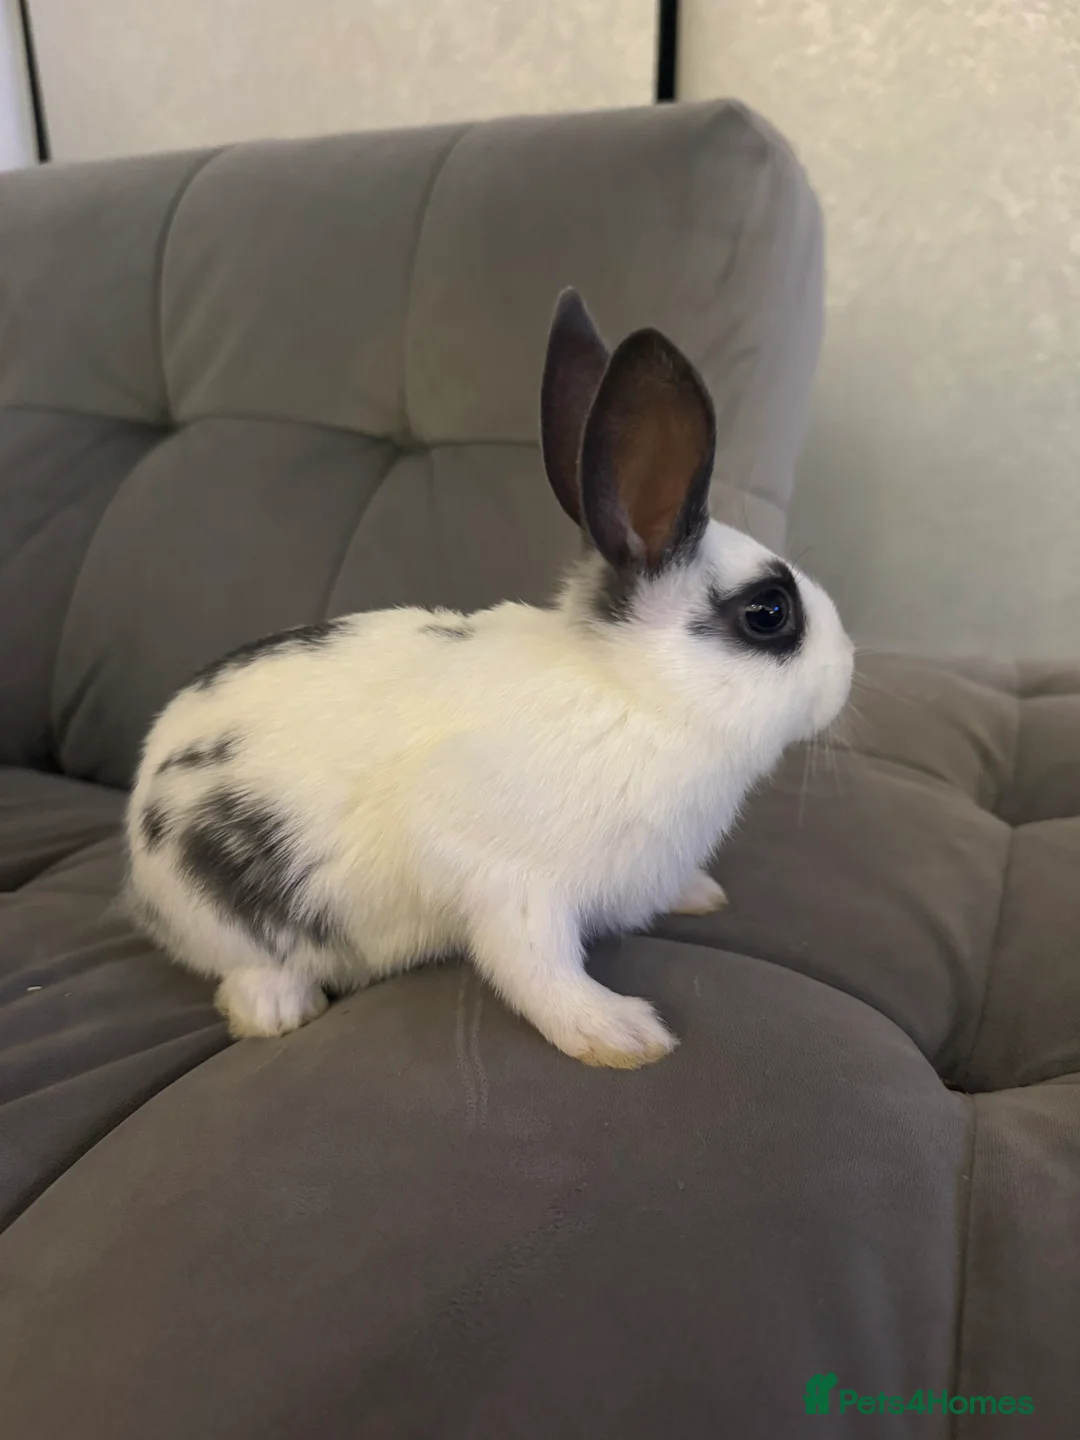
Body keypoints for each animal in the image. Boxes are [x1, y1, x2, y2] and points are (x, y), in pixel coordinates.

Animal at [125, 288, 854, 1069]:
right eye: (769, 612)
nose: (848, 666)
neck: (635, 699)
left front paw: (699, 895)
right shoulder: (509, 883)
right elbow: (536, 967)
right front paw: (620, 1035)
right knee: (242, 965)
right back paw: (278, 1010)